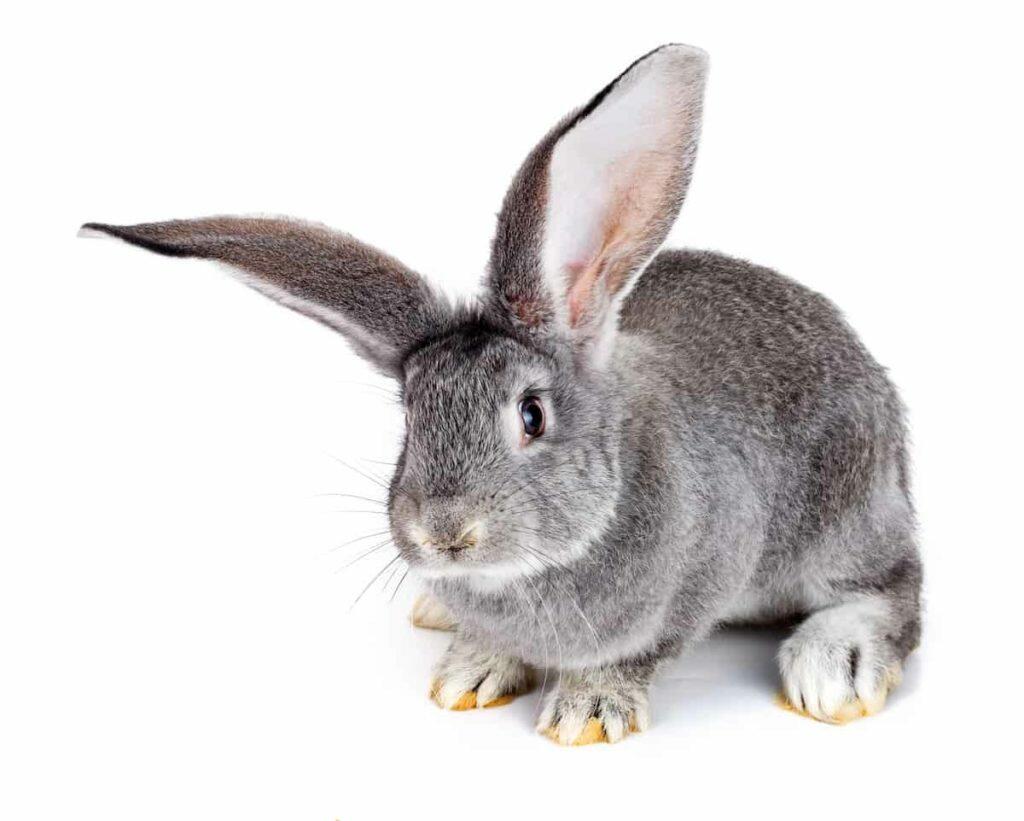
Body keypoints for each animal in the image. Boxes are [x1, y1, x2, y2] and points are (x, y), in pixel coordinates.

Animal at [80, 43, 921, 744]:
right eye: (411, 416)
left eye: (531, 415)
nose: (444, 533)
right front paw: (472, 666)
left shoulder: (705, 570)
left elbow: (639, 651)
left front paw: (587, 708)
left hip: (844, 508)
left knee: (895, 587)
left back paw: (833, 666)